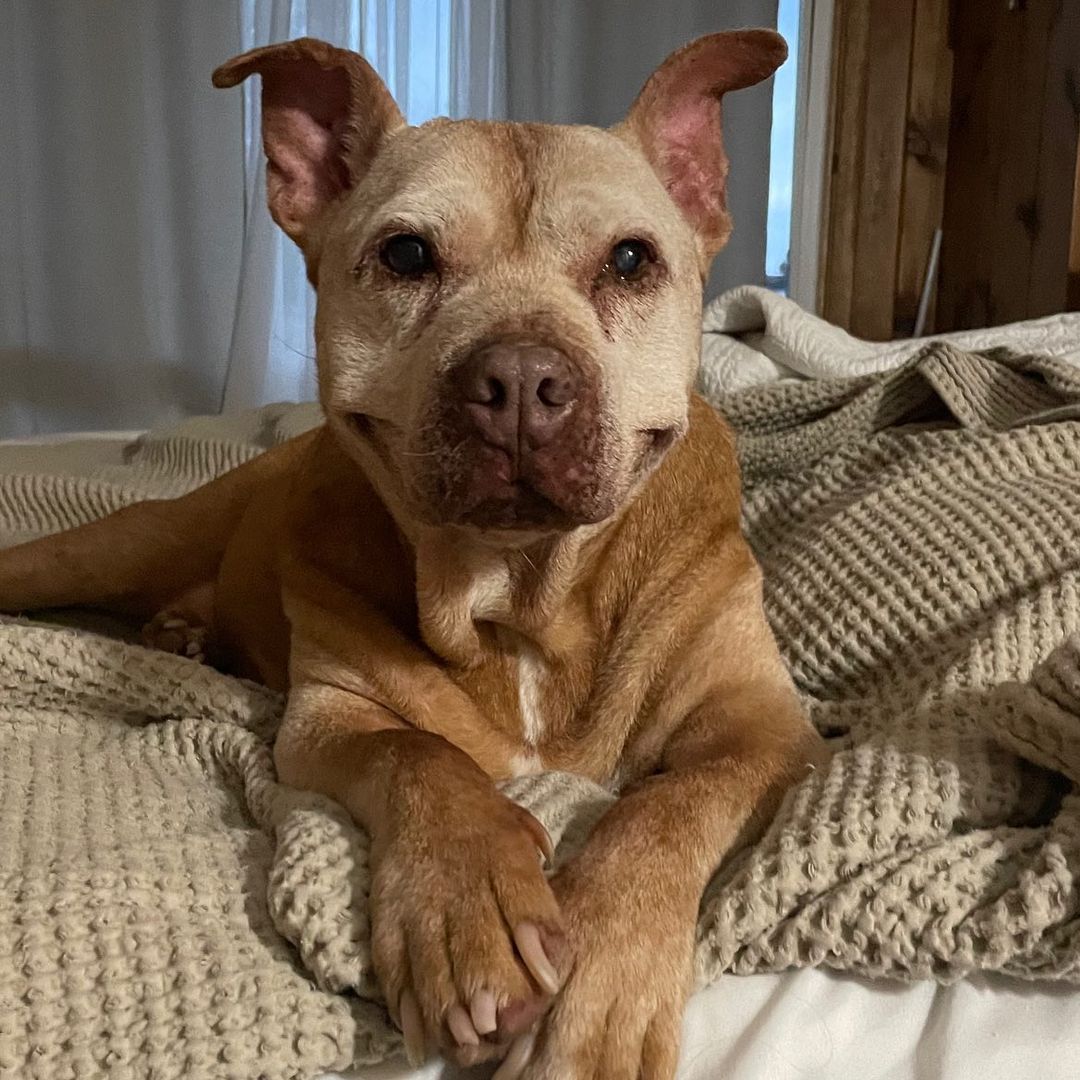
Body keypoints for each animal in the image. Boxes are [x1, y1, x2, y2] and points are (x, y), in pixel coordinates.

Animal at [0, 33, 825, 1080]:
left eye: (632, 259)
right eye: (405, 254)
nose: (519, 379)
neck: (514, 592)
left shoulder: (763, 729)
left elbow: (665, 805)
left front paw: (597, 978)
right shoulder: (328, 715)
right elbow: (417, 755)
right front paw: (464, 903)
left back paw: (183, 634)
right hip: (114, 544)